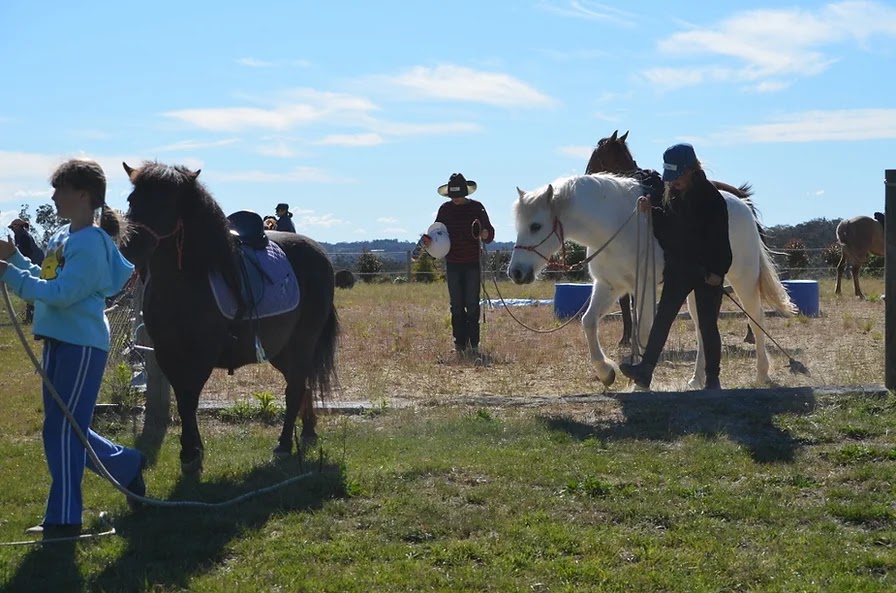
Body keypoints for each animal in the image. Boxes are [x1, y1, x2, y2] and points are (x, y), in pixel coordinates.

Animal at [119, 161, 340, 472]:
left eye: (169, 203)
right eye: (132, 200)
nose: (131, 246)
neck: (185, 282)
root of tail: (320, 253)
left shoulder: (201, 355)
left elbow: (189, 399)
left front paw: (190, 453)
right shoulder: (166, 352)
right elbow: (184, 399)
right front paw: (194, 450)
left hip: (302, 343)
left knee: (295, 387)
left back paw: (284, 445)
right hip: (281, 350)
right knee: (302, 383)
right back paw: (308, 431)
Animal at [508, 175, 796, 388]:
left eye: (535, 226)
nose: (516, 273)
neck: (615, 224)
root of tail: (743, 206)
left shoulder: (643, 287)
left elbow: (647, 331)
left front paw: (639, 382)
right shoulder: (609, 286)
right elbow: (588, 322)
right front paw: (606, 372)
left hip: (743, 279)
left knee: (756, 320)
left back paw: (762, 374)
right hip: (697, 289)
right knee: (703, 329)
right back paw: (697, 379)